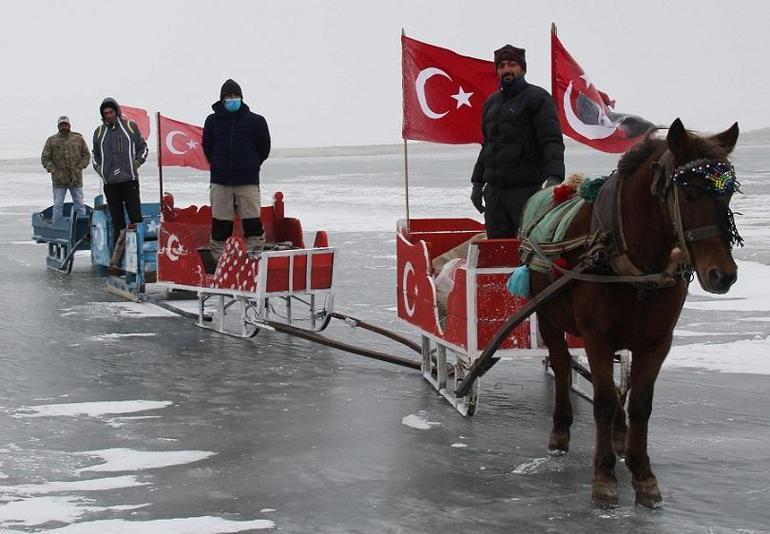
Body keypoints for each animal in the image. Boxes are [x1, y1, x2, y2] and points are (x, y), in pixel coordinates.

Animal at [532, 118, 740, 510]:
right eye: (689, 194)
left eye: (730, 194)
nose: (724, 275)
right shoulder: (596, 337)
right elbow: (601, 401)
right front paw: (604, 477)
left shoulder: (658, 340)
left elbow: (640, 403)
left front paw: (643, 475)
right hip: (547, 317)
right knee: (563, 365)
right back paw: (561, 430)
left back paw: (619, 434)